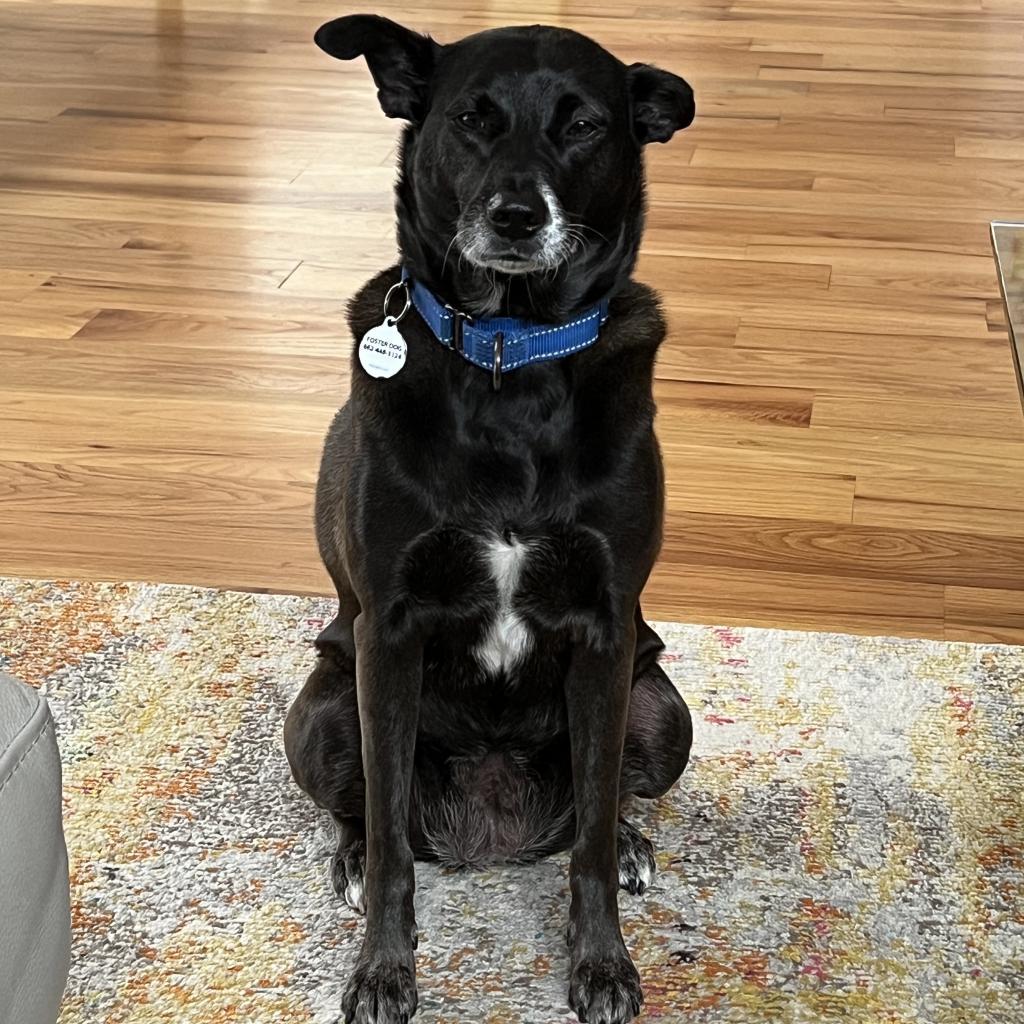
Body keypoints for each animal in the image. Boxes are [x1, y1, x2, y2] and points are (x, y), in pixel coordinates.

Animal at [284, 18, 692, 1024]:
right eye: (472, 119)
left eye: (582, 125)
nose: (515, 218)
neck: (511, 352)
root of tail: (493, 828)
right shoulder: (389, 632)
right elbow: (394, 846)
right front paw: (383, 972)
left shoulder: (605, 631)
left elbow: (591, 842)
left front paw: (602, 965)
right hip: (323, 711)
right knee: (370, 810)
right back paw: (352, 855)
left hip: (662, 708)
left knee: (605, 800)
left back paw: (632, 840)